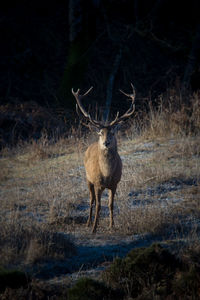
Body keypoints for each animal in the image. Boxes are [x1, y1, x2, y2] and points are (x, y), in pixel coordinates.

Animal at [72, 83, 136, 233]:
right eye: (101, 132)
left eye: (112, 132)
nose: (106, 143)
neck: (106, 174)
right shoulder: (97, 183)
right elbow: (98, 205)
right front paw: (94, 228)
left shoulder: (115, 183)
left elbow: (111, 204)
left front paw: (112, 225)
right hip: (87, 178)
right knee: (91, 201)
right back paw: (89, 222)